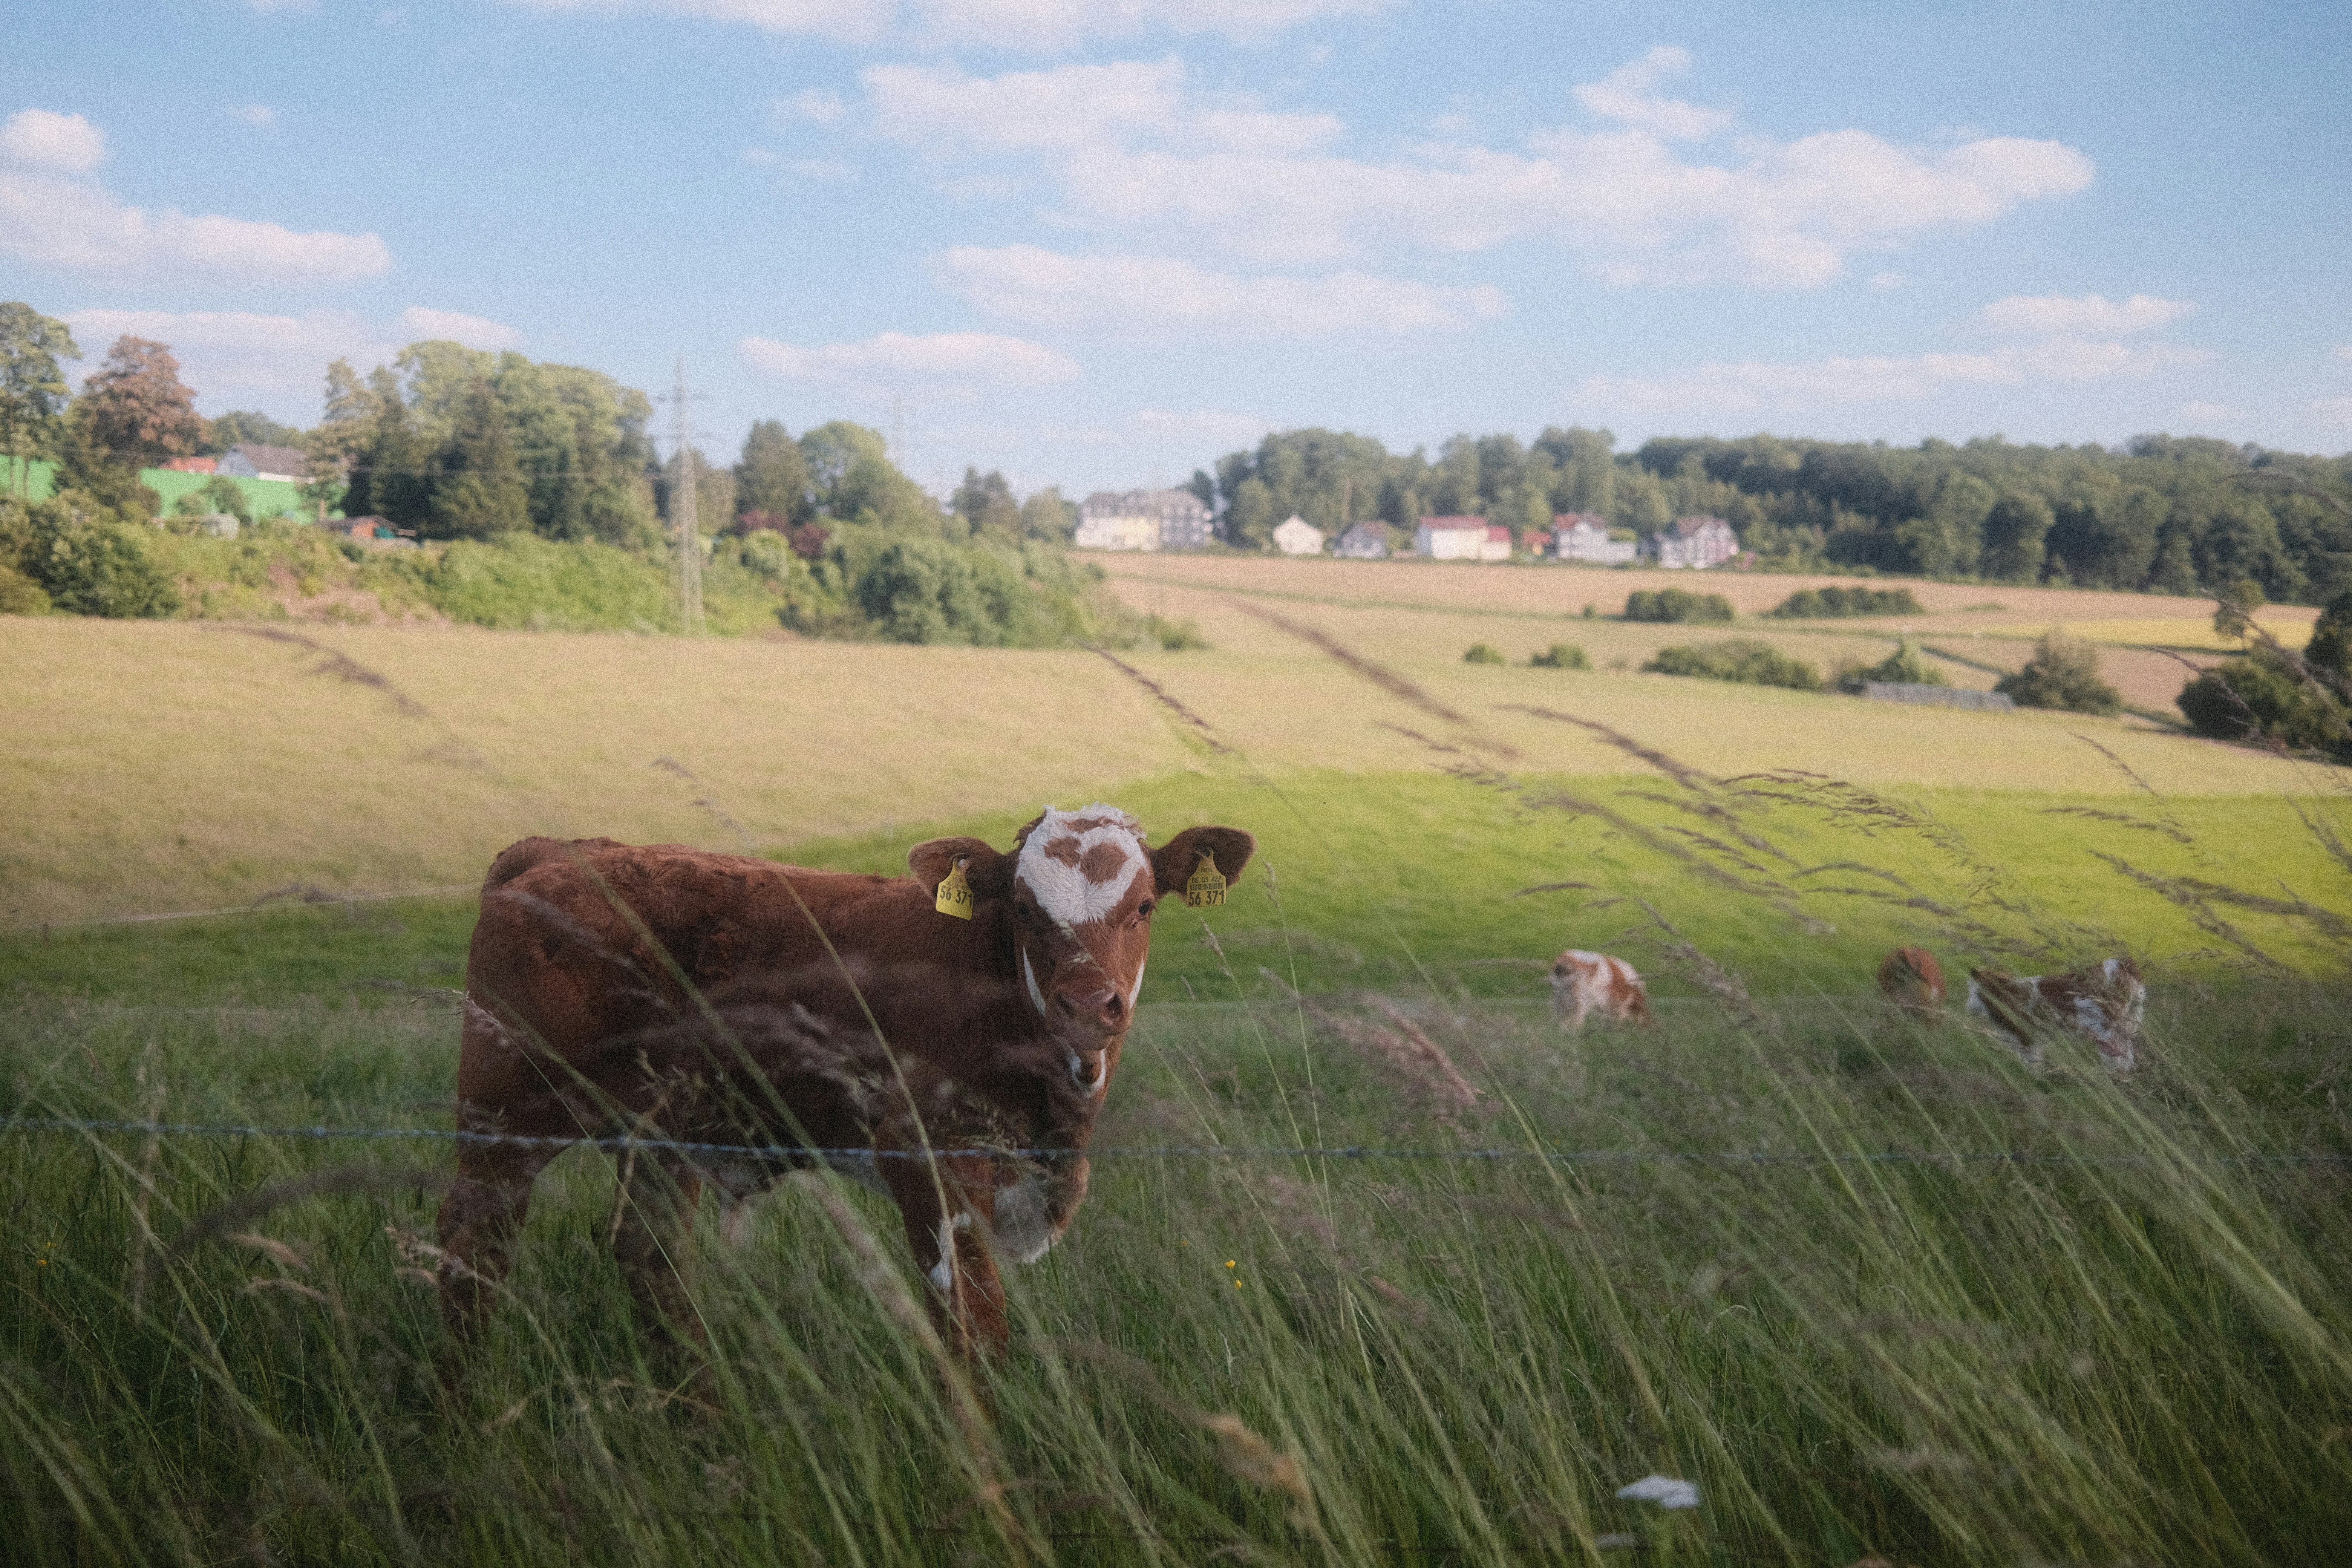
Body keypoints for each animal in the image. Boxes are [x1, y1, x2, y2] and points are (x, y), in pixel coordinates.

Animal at [435, 804, 1254, 1364]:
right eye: (1024, 909)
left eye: (1143, 906)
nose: (1086, 1005)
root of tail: (555, 853)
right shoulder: (927, 1159)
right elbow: (971, 1327)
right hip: (505, 1113)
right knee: (474, 1252)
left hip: (658, 1131)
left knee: (652, 1262)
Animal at [1965, 958, 2145, 1072]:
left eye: (1971, 991)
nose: (1967, 1008)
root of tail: (2121, 963)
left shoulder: (2027, 1040)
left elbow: (2031, 1067)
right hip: (2127, 1026)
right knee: (2127, 1058)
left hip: (2105, 1030)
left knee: (2117, 1057)